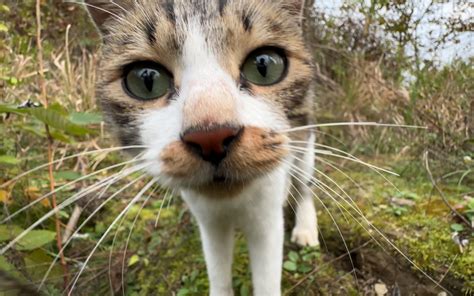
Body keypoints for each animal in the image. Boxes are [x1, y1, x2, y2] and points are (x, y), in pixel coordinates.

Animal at [85, 1, 318, 294]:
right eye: (146, 80)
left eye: (263, 66)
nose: (211, 136)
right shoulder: (208, 220)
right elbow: (218, 268)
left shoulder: (266, 218)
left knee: (304, 182)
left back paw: (306, 227)